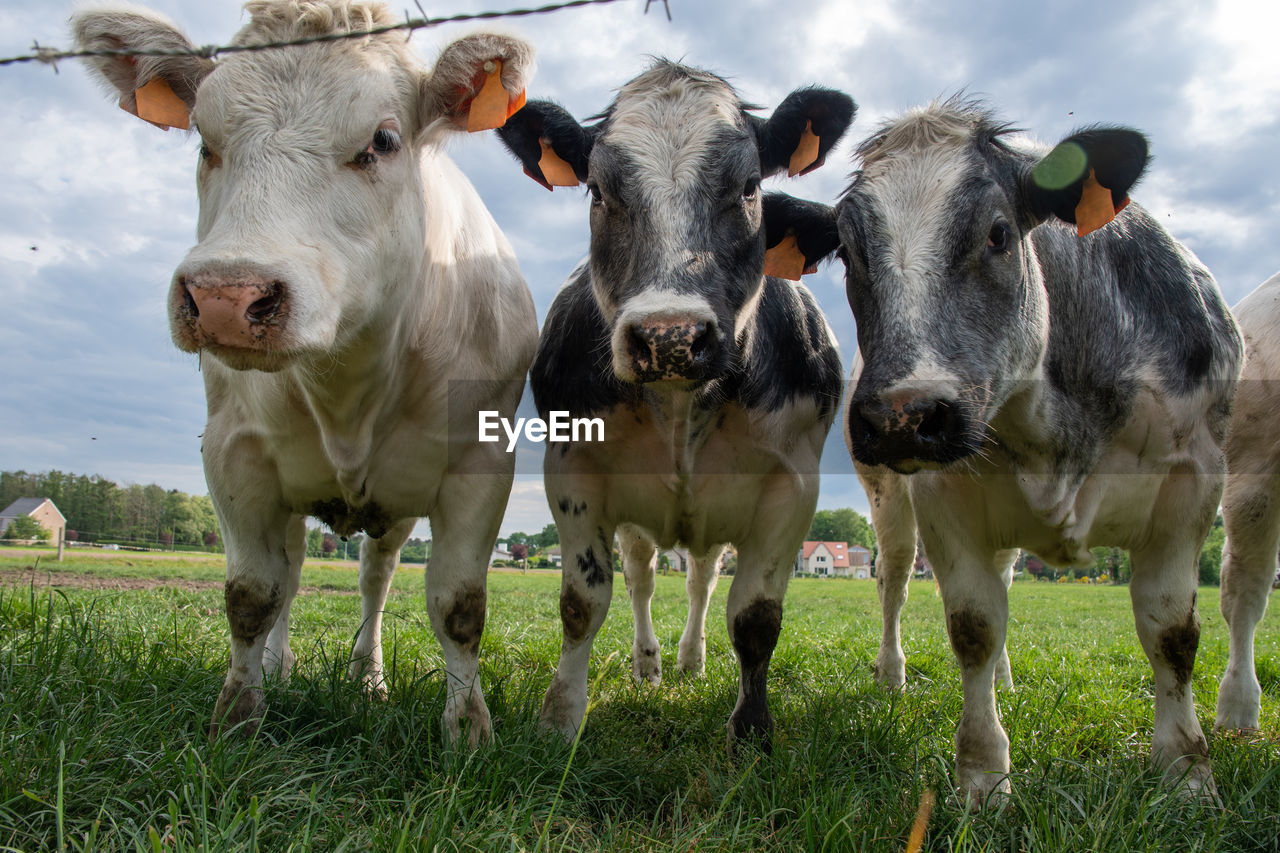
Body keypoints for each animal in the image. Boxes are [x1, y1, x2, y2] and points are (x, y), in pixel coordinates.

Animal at [74, 1, 535, 742]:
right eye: (204, 141)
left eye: (383, 140)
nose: (226, 296)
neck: (349, 385)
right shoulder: (232, 454)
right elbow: (251, 595)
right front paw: (238, 715)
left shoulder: (481, 464)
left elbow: (459, 605)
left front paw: (468, 731)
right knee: (288, 575)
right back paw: (279, 668)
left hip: (392, 509)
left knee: (375, 579)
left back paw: (367, 676)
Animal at [496, 63, 849, 742]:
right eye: (599, 191)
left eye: (748, 187)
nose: (670, 336)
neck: (681, 407)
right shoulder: (572, 468)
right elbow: (583, 602)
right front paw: (560, 717)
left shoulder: (793, 484)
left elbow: (756, 617)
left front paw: (752, 731)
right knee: (641, 580)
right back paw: (650, 665)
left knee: (702, 583)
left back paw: (691, 660)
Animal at [778, 97, 1239, 799]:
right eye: (850, 255)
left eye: (998, 234)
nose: (903, 416)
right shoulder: (943, 494)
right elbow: (974, 625)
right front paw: (983, 776)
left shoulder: (1193, 484)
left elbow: (1172, 631)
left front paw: (1186, 770)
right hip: (887, 496)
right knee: (895, 579)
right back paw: (893, 674)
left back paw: (1007, 679)